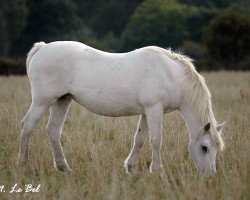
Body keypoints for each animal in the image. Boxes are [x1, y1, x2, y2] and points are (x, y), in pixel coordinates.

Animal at [16, 41, 226, 174]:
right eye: (205, 147)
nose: (210, 175)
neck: (171, 75)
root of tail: (42, 48)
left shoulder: (146, 112)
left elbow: (139, 139)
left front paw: (130, 167)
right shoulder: (154, 109)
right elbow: (156, 140)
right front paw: (157, 170)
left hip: (62, 100)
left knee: (53, 131)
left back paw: (64, 168)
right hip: (43, 101)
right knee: (28, 127)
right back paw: (22, 164)